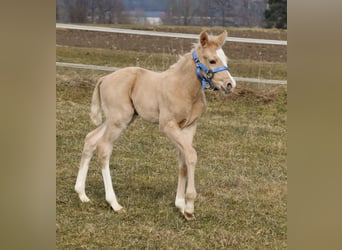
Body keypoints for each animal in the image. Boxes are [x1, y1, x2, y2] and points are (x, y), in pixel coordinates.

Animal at [74, 30, 235, 220]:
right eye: (212, 60)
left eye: (225, 59)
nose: (230, 84)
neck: (184, 88)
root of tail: (104, 78)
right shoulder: (168, 126)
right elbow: (191, 155)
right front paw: (189, 207)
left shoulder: (188, 127)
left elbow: (183, 161)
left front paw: (181, 205)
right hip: (119, 120)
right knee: (104, 148)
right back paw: (114, 203)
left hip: (119, 119)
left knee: (90, 139)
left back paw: (82, 194)